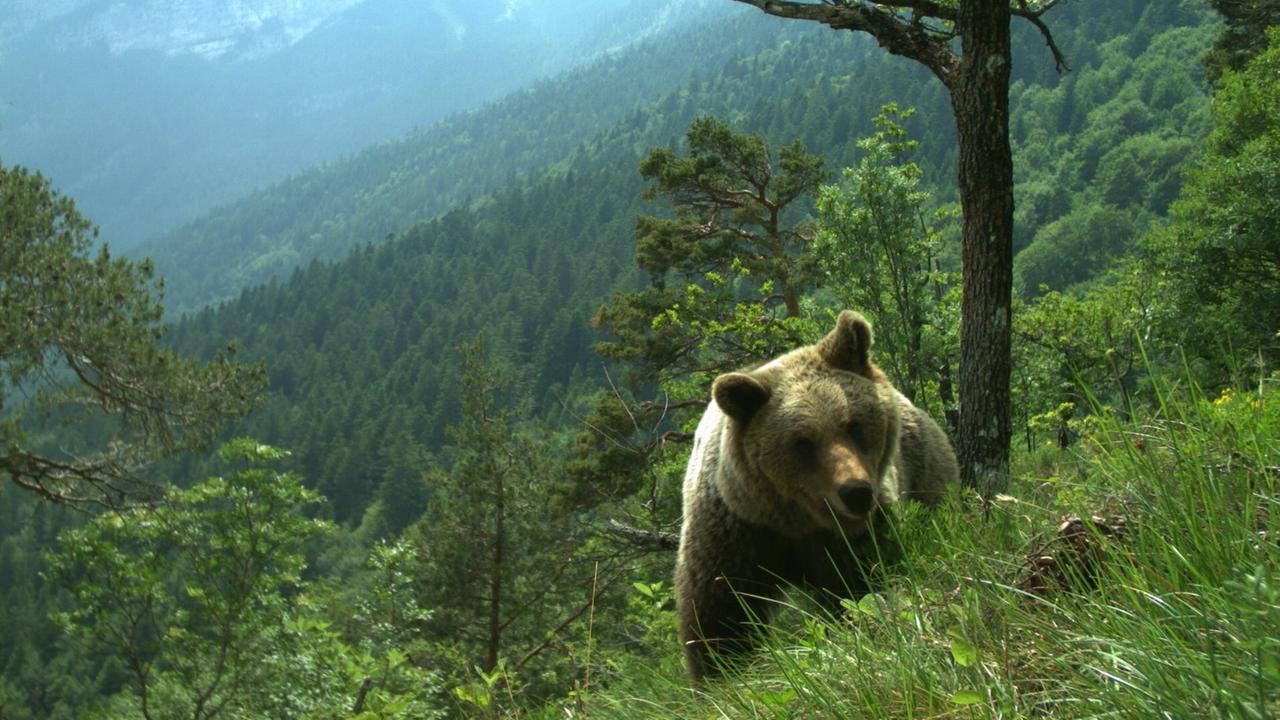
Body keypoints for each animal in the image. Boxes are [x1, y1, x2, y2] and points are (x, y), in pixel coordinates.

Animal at [675, 308, 957, 676]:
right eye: (802, 442)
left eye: (853, 424)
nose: (856, 492)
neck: (797, 521)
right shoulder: (737, 532)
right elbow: (721, 612)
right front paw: (722, 670)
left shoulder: (855, 537)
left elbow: (863, 586)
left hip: (925, 469)